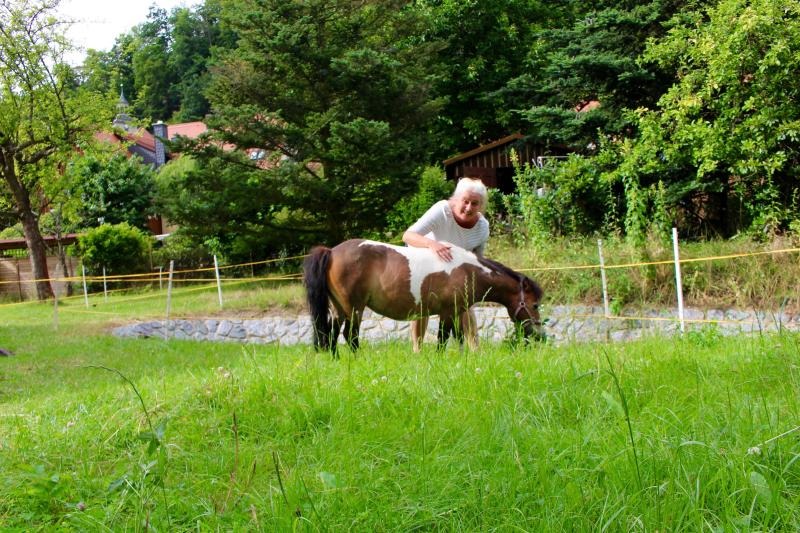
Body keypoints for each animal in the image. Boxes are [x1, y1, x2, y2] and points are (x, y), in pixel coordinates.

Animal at [302, 239, 544, 356]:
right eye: (535, 305)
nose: (539, 335)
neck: (467, 270)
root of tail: (331, 251)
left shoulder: (455, 312)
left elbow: (459, 337)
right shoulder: (447, 312)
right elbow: (443, 338)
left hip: (340, 308)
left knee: (331, 333)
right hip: (354, 308)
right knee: (349, 335)